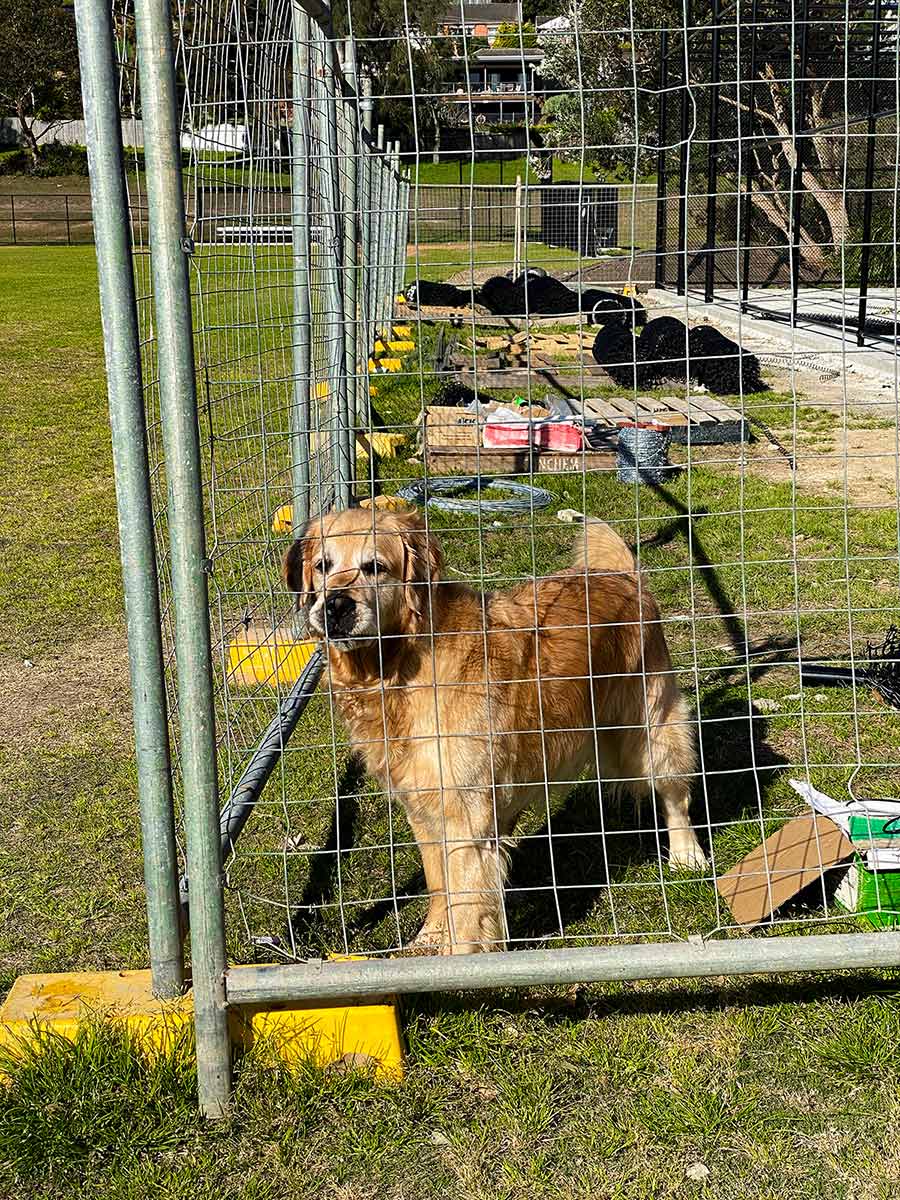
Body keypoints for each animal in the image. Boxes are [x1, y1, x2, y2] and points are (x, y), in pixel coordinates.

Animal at [285, 506, 710, 955]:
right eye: (323, 566)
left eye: (375, 567)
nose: (335, 606)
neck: (400, 666)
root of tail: (622, 572)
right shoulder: (423, 807)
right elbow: (440, 883)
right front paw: (431, 936)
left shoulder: (463, 813)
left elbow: (466, 897)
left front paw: (460, 955)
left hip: (651, 728)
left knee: (675, 796)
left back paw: (687, 856)